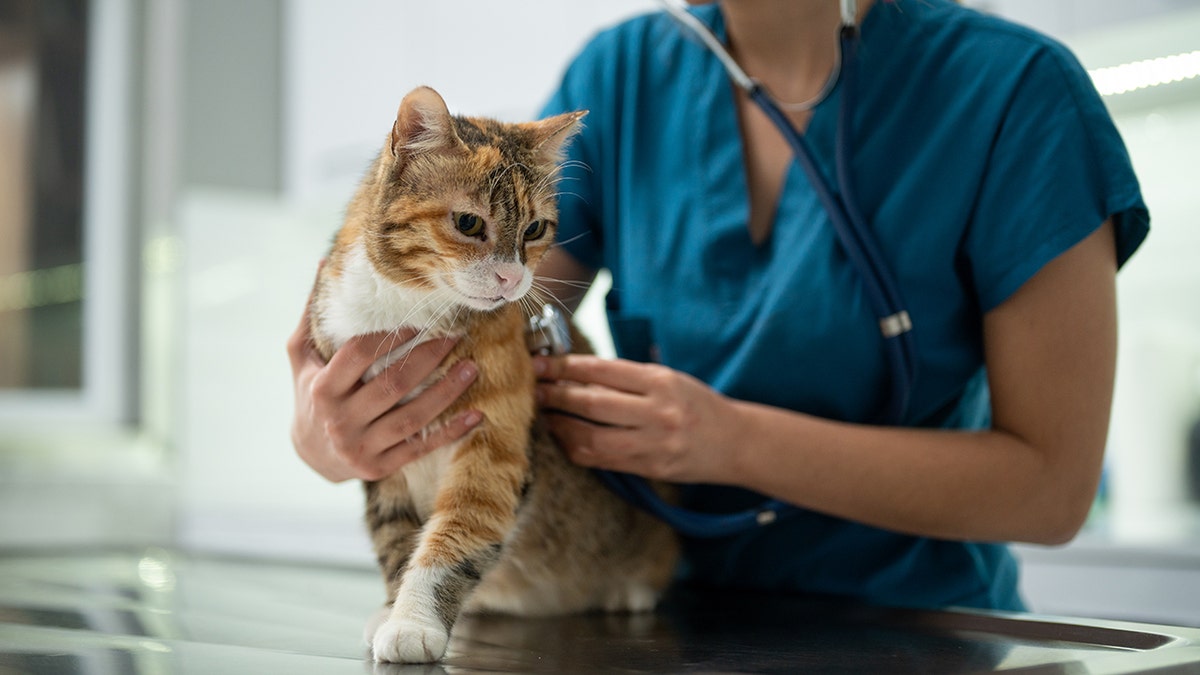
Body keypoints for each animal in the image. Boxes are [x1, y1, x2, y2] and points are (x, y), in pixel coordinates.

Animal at [304, 85, 681, 662]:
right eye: (468, 223)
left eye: (535, 228)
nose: (511, 277)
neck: (409, 314)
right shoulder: (377, 453)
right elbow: (395, 539)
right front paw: (392, 610)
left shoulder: (492, 447)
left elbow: (455, 535)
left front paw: (413, 623)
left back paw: (628, 591)